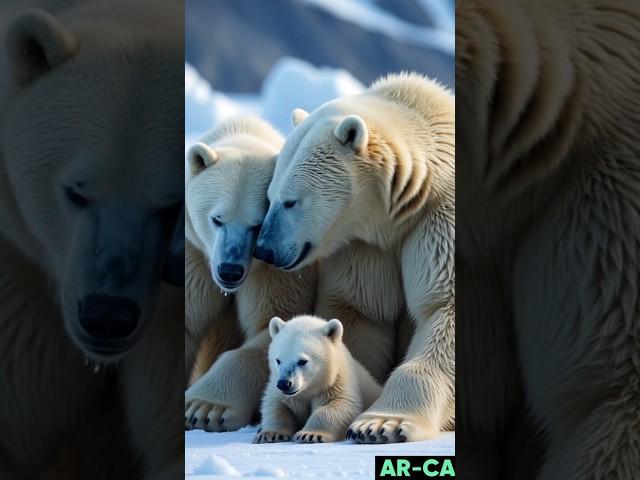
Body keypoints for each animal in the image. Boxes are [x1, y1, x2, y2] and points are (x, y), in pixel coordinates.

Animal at [184, 118, 316, 434]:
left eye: (256, 225)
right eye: (217, 219)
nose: (230, 271)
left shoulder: (274, 266)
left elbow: (274, 324)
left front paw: (205, 409)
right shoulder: (194, 253)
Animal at [254, 316, 380, 444]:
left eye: (302, 361)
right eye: (278, 360)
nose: (284, 384)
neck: (311, 387)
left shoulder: (337, 382)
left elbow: (339, 405)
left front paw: (309, 434)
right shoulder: (277, 387)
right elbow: (275, 405)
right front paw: (270, 434)